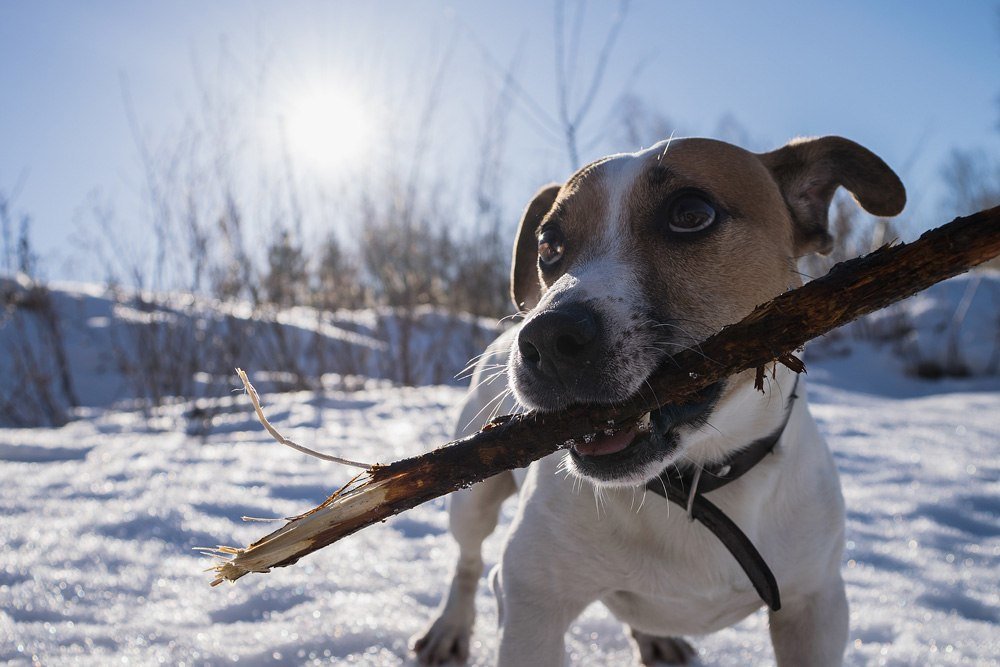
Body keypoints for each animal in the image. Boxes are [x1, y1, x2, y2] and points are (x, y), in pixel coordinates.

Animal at [414, 134, 908, 664]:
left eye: (691, 213)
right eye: (549, 246)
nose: (545, 338)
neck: (698, 479)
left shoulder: (816, 607)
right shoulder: (532, 609)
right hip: (472, 499)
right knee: (468, 557)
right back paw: (450, 626)